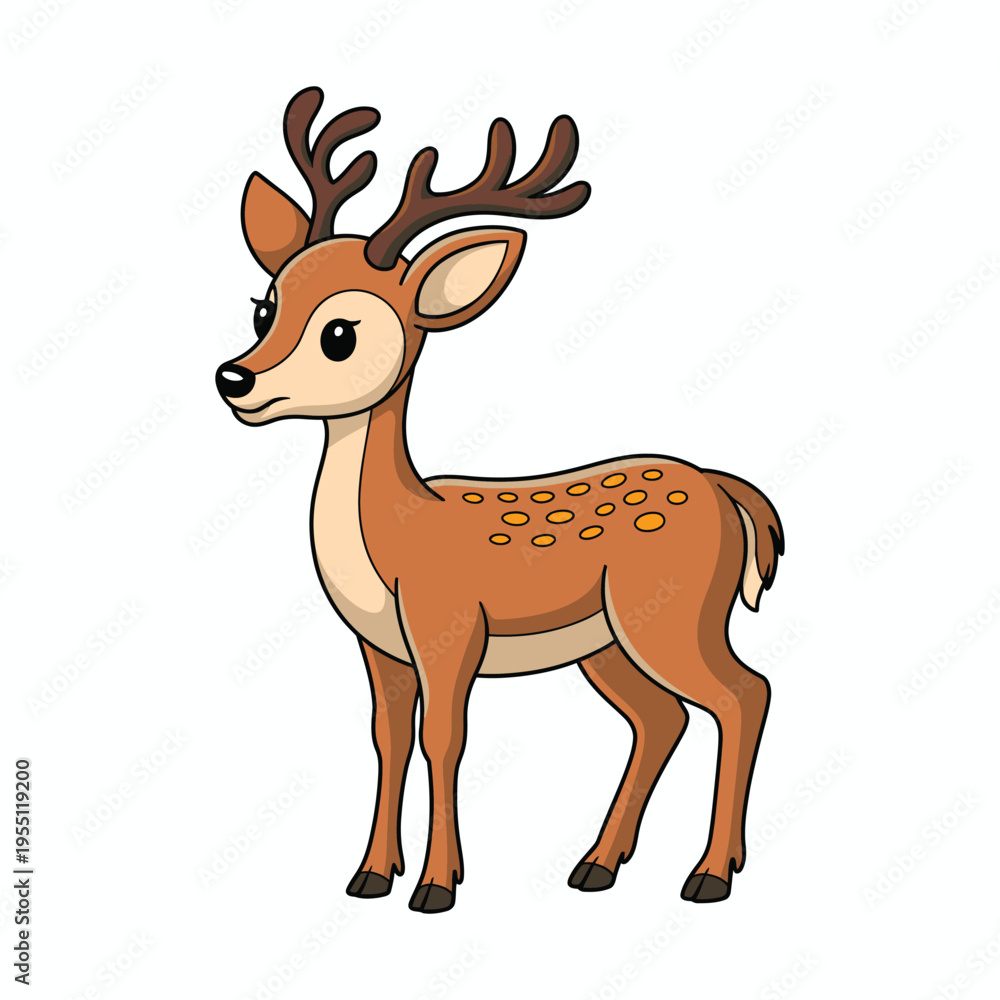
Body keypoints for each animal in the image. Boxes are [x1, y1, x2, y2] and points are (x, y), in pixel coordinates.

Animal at [215, 87, 784, 914]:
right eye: (265, 307)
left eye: (340, 333)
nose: (234, 378)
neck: (395, 539)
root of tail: (723, 487)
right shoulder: (380, 646)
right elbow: (388, 738)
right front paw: (369, 875)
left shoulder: (450, 627)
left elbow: (443, 739)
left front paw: (436, 885)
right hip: (608, 642)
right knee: (663, 717)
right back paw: (598, 865)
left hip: (677, 614)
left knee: (745, 693)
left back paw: (709, 875)